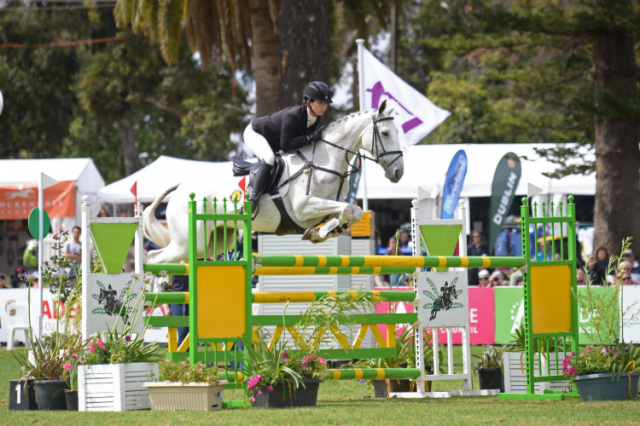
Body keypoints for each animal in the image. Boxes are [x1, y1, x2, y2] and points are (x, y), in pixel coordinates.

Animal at [145, 101, 404, 264]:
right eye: (385, 133)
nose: (399, 172)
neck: (326, 160)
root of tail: (180, 189)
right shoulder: (303, 208)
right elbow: (348, 209)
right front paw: (322, 231)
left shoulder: (327, 207)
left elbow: (353, 211)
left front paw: (323, 232)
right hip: (189, 241)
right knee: (153, 258)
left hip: (216, 242)